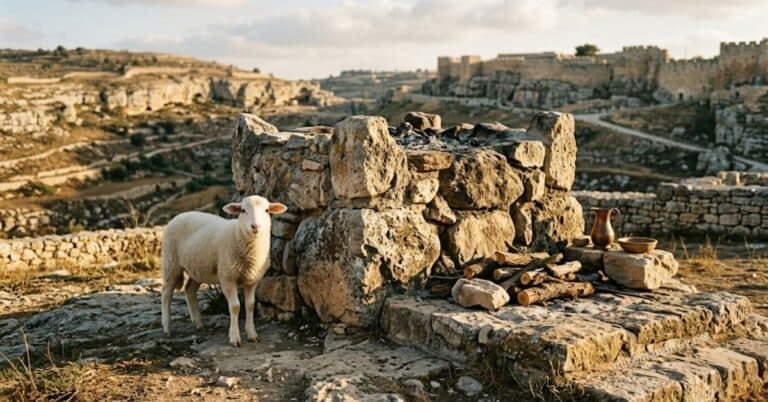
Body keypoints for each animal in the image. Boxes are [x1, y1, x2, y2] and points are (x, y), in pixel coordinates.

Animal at [161, 195, 287, 347]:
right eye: (243, 210)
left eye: (267, 210)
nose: (255, 226)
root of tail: (179, 215)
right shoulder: (227, 277)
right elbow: (235, 306)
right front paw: (234, 338)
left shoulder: (252, 280)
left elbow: (250, 305)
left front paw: (252, 334)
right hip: (171, 262)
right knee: (166, 294)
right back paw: (167, 328)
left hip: (198, 268)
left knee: (189, 289)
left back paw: (199, 324)